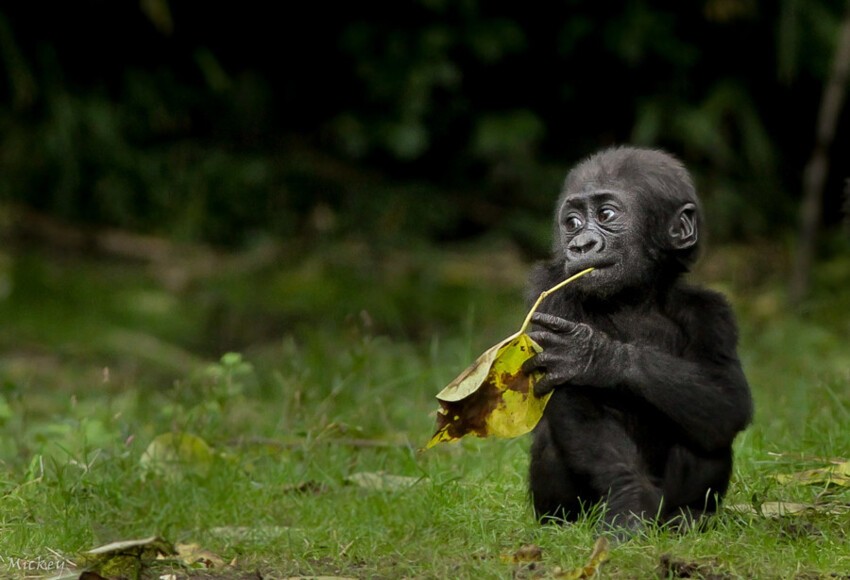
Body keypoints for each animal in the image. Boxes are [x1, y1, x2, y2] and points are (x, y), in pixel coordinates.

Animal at [524, 146, 748, 536]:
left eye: (606, 215)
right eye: (572, 223)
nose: (581, 244)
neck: (634, 295)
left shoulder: (713, 313)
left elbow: (728, 398)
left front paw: (595, 356)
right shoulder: (549, 292)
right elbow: (577, 407)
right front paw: (630, 495)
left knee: (711, 432)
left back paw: (688, 515)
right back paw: (561, 524)